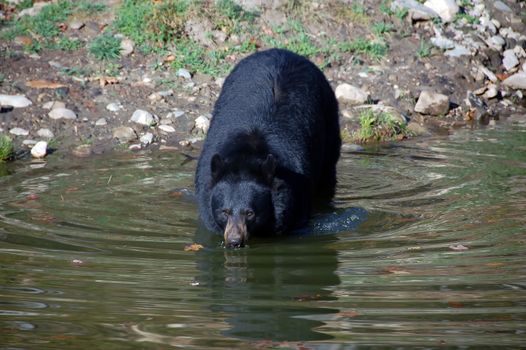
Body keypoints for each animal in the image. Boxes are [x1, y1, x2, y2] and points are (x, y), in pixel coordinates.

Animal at [196, 47, 340, 247]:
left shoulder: (296, 187)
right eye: (224, 212)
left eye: (250, 213)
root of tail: (284, 51)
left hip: (329, 119)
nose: (234, 241)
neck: (247, 153)